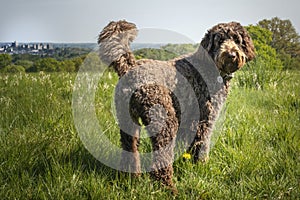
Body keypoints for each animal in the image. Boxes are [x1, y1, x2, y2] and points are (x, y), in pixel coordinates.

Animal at [97, 19, 254, 191]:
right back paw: (168, 188)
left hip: (128, 123)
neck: (209, 66)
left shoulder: (189, 120)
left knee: (129, 150)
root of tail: (130, 67)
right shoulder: (204, 119)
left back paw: (132, 178)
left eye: (237, 40)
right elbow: (202, 145)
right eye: (219, 41)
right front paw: (201, 165)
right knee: (161, 159)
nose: (231, 54)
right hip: (164, 121)